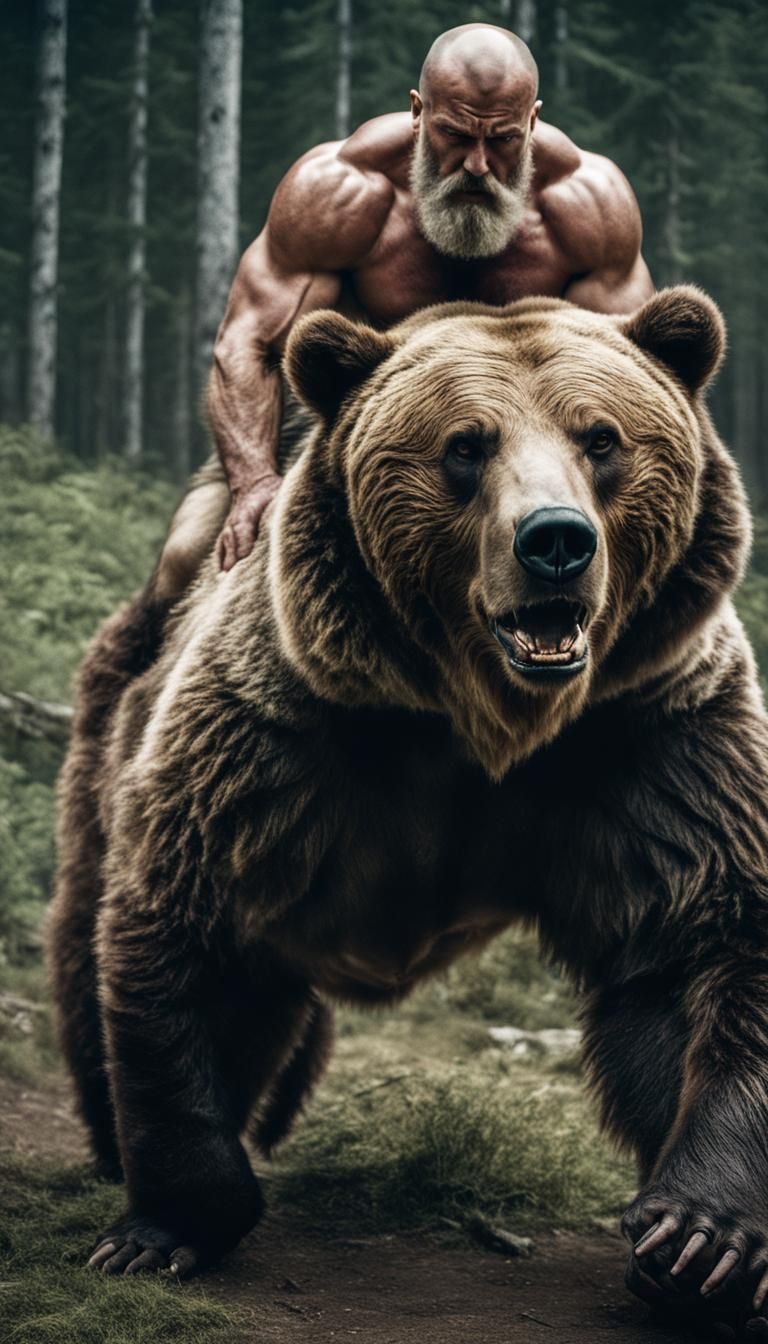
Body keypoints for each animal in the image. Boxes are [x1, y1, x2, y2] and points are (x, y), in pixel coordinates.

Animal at [48, 286, 768, 1337]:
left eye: (601, 438)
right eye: (466, 446)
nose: (555, 541)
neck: (485, 722)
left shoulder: (650, 738)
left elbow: (700, 944)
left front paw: (700, 1242)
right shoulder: (282, 734)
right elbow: (190, 917)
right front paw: (165, 1228)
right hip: (120, 709)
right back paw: (114, 1140)